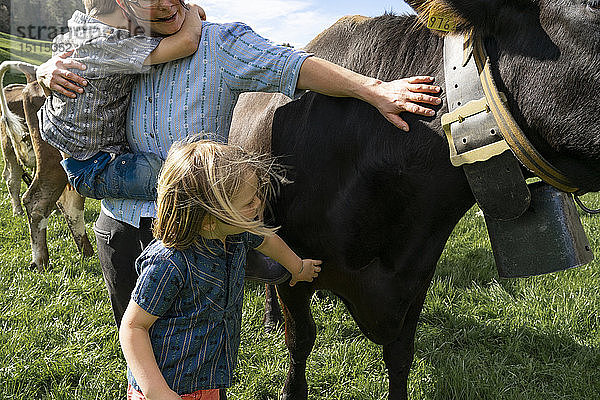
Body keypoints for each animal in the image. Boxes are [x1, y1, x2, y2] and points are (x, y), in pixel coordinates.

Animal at [230, 1, 600, 398]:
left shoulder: (416, 274)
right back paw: (270, 319)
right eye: (592, 7)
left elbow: (400, 354)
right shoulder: (296, 265)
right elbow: (300, 340)